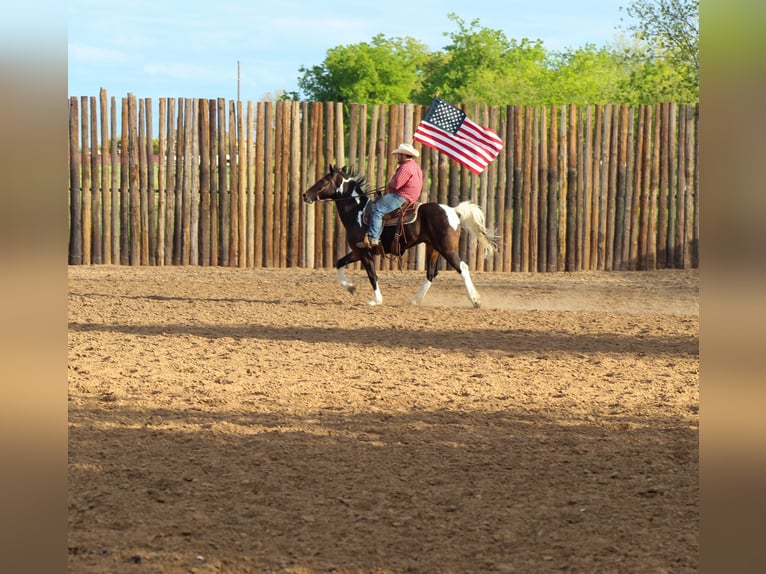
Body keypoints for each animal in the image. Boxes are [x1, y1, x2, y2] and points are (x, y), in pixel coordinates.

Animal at [304, 165, 500, 310]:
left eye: (323, 180)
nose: (305, 195)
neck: (357, 211)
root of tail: (453, 210)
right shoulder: (357, 252)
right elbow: (339, 263)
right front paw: (351, 288)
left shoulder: (365, 253)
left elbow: (372, 275)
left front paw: (376, 300)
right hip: (433, 248)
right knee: (431, 273)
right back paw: (414, 300)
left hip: (446, 249)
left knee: (462, 267)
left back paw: (475, 300)